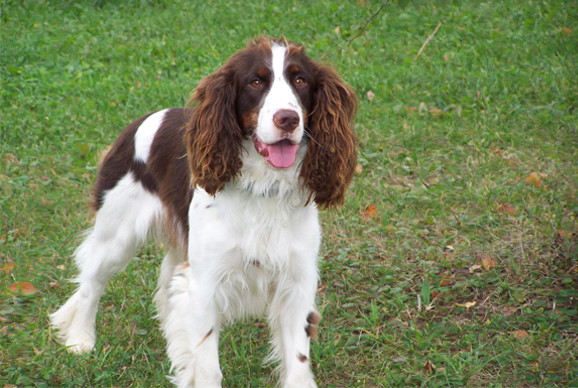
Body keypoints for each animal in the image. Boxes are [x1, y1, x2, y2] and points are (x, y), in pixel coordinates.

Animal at [50, 36, 356, 388]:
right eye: (255, 82)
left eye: (301, 81)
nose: (288, 119)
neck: (264, 188)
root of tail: (142, 121)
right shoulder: (206, 285)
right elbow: (209, 366)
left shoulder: (297, 284)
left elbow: (298, 363)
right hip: (117, 236)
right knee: (92, 281)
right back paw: (80, 339)